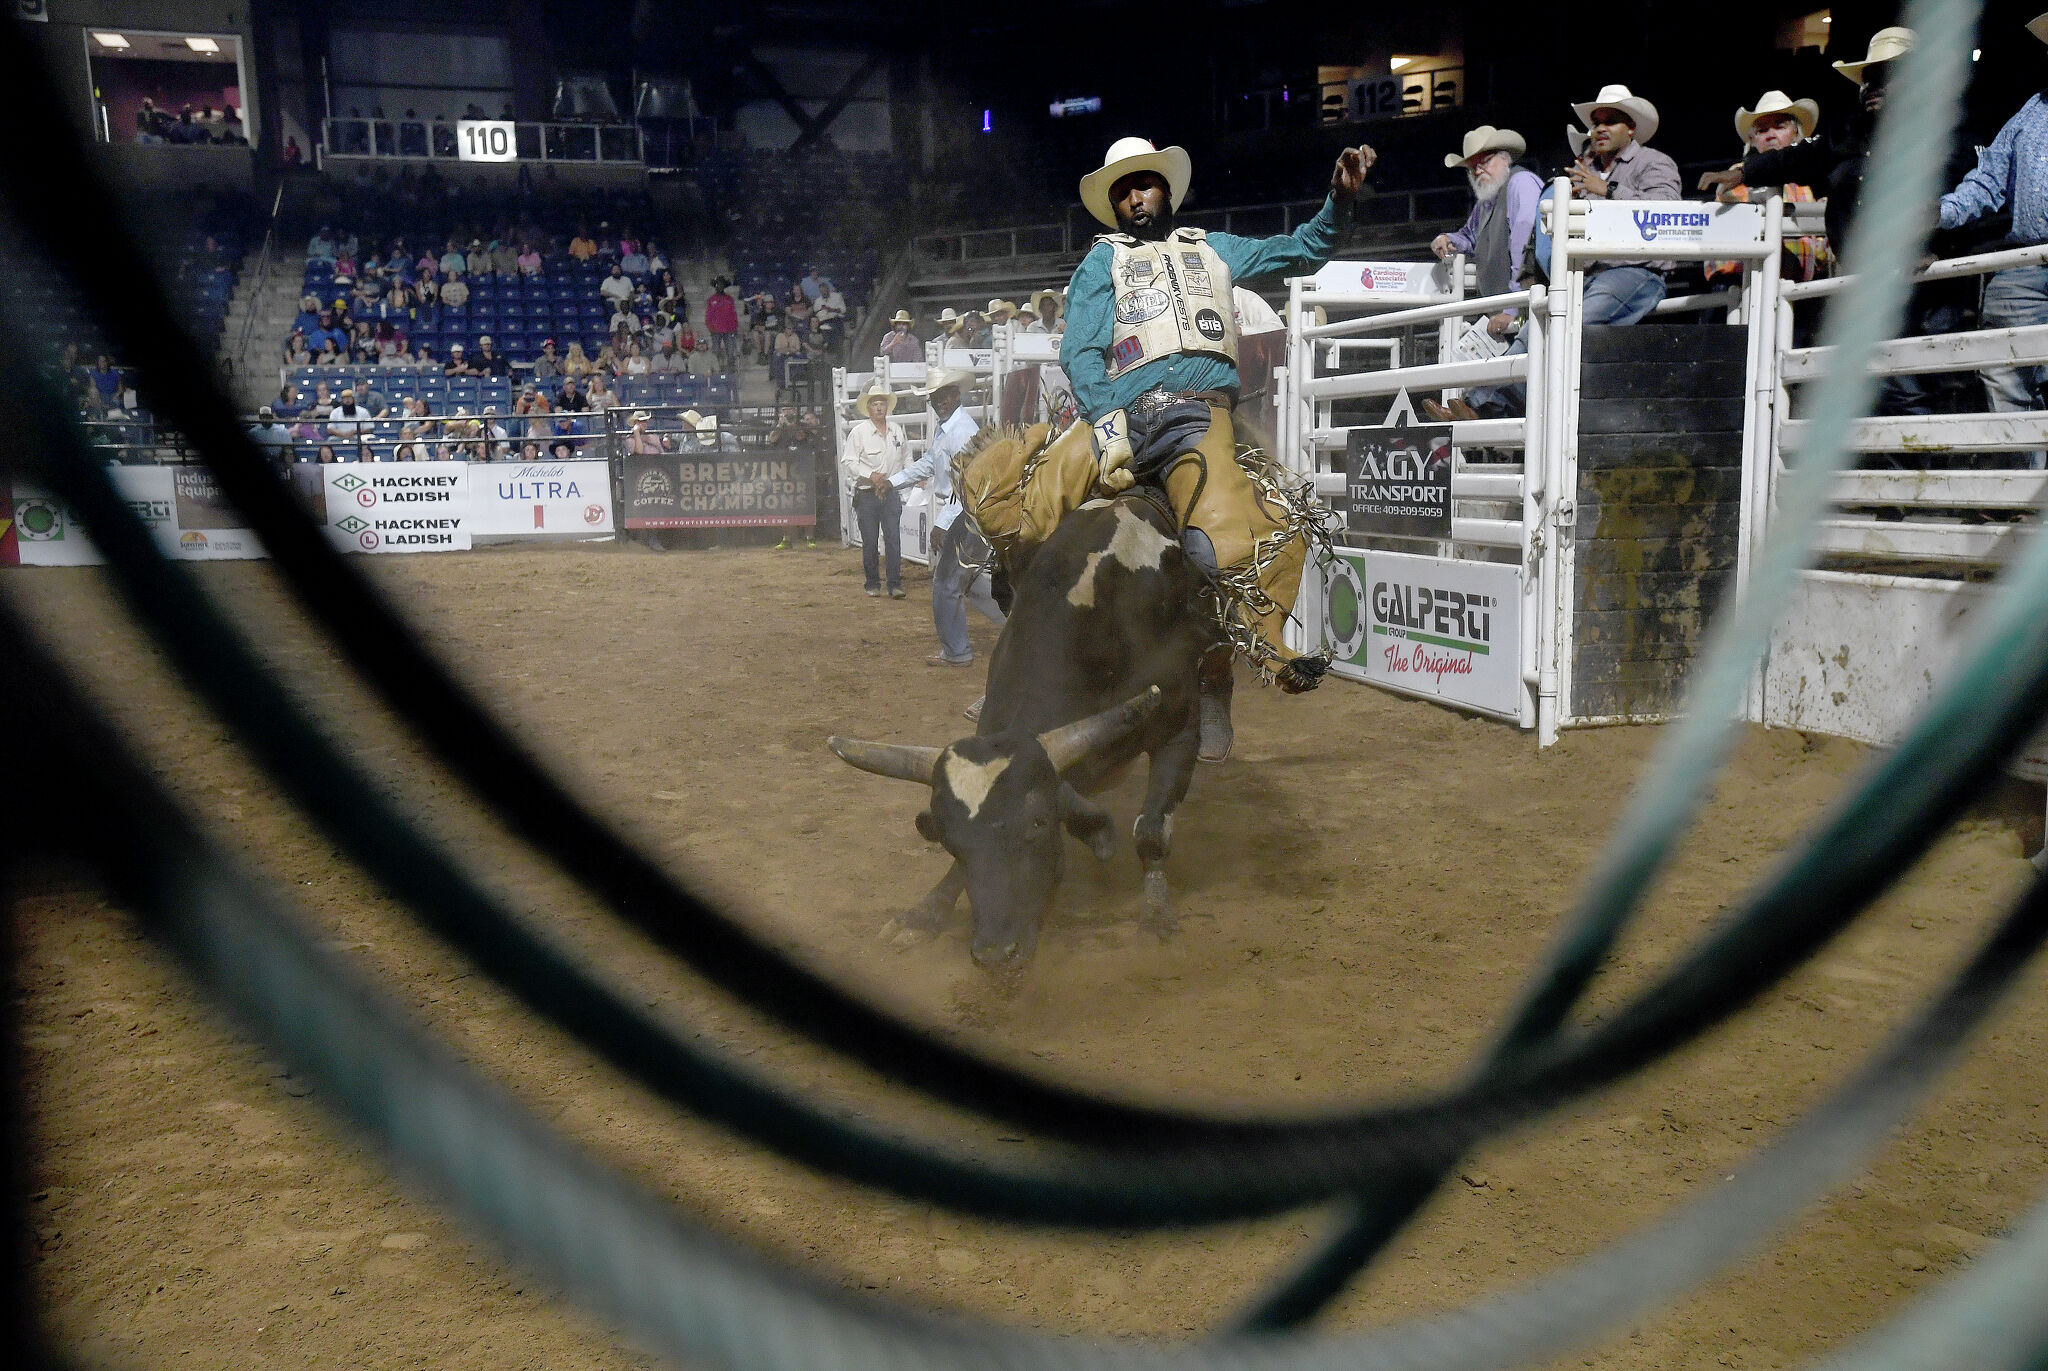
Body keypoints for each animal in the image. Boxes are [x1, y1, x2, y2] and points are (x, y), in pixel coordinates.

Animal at [827, 497, 1220, 967]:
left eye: (1037, 823)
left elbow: (1151, 832)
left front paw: (1158, 918)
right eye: (949, 840)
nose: (996, 953)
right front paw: (924, 914)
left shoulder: (1179, 730)